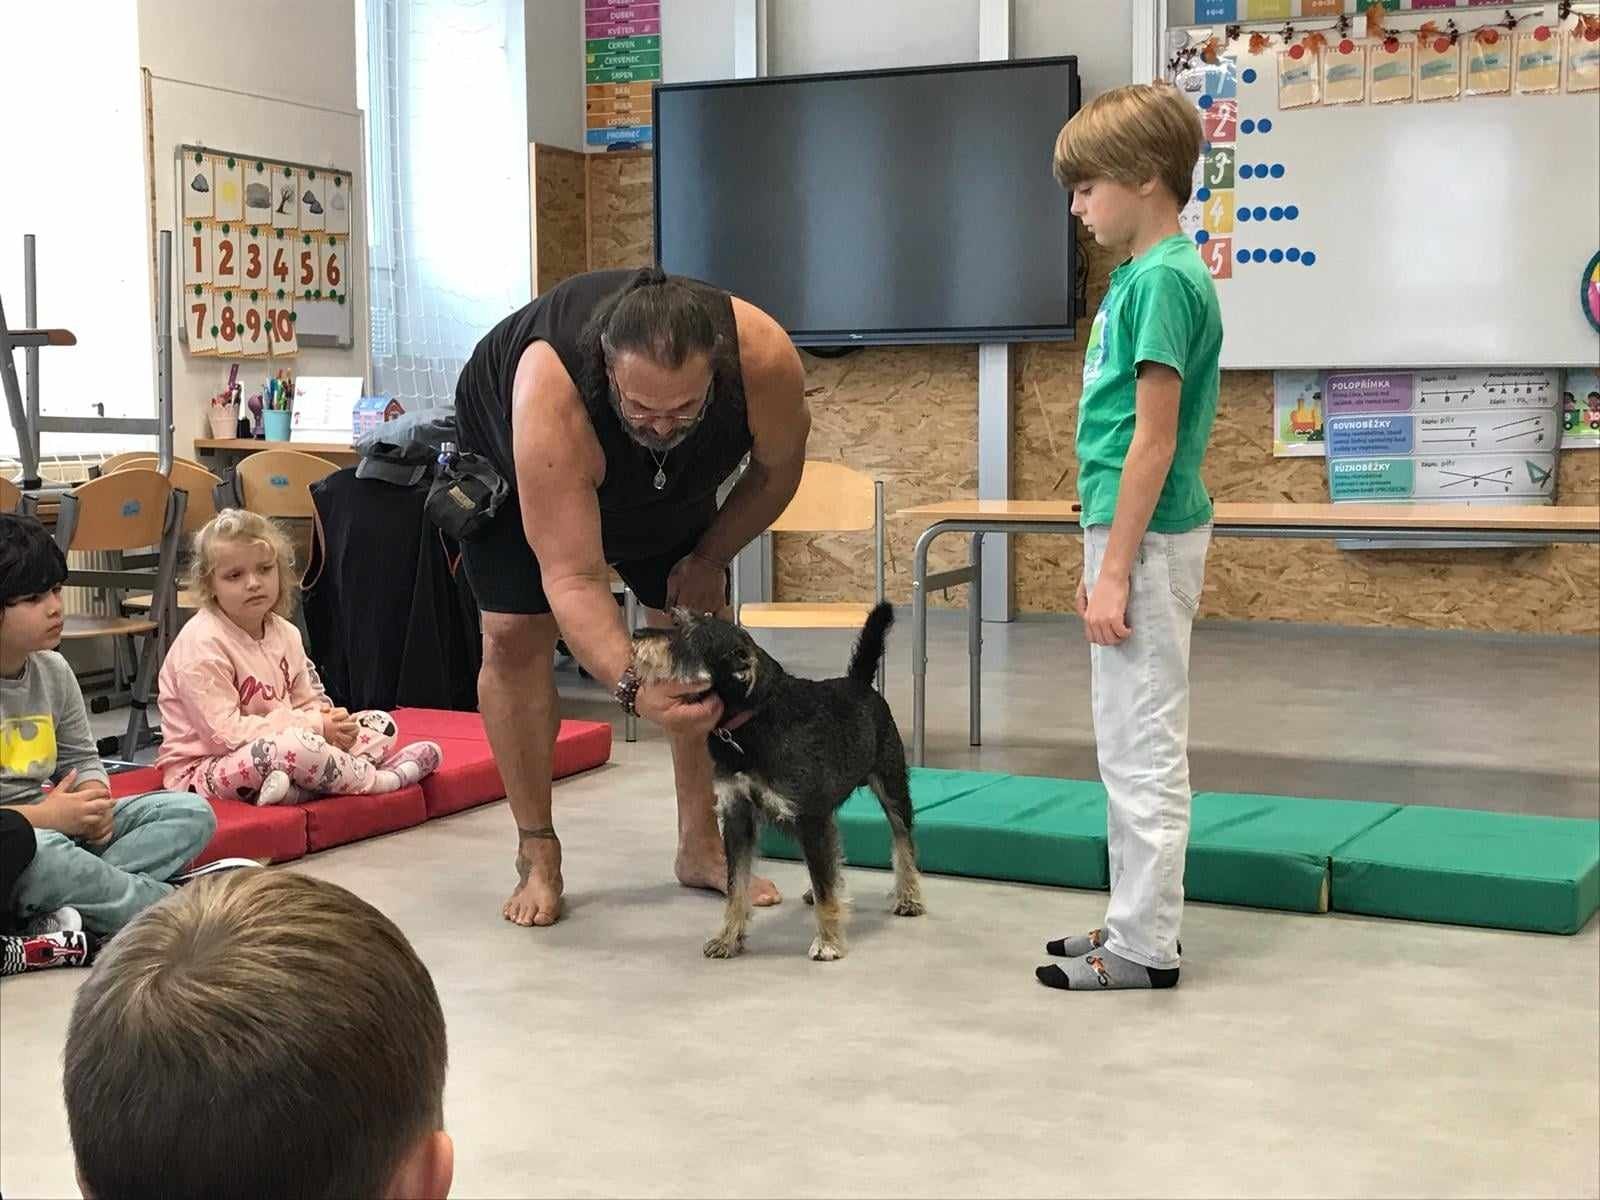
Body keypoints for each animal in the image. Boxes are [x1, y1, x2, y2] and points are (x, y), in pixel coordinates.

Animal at [632, 602, 924, 961]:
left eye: (686, 637)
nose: (636, 635)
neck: (750, 725)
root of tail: (859, 683)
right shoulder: (737, 818)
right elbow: (736, 885)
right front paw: (728, 938)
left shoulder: (810, 818)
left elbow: (826, 886)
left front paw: (828, 941)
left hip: (892, 785)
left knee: (902, 841)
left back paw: (908, 896)